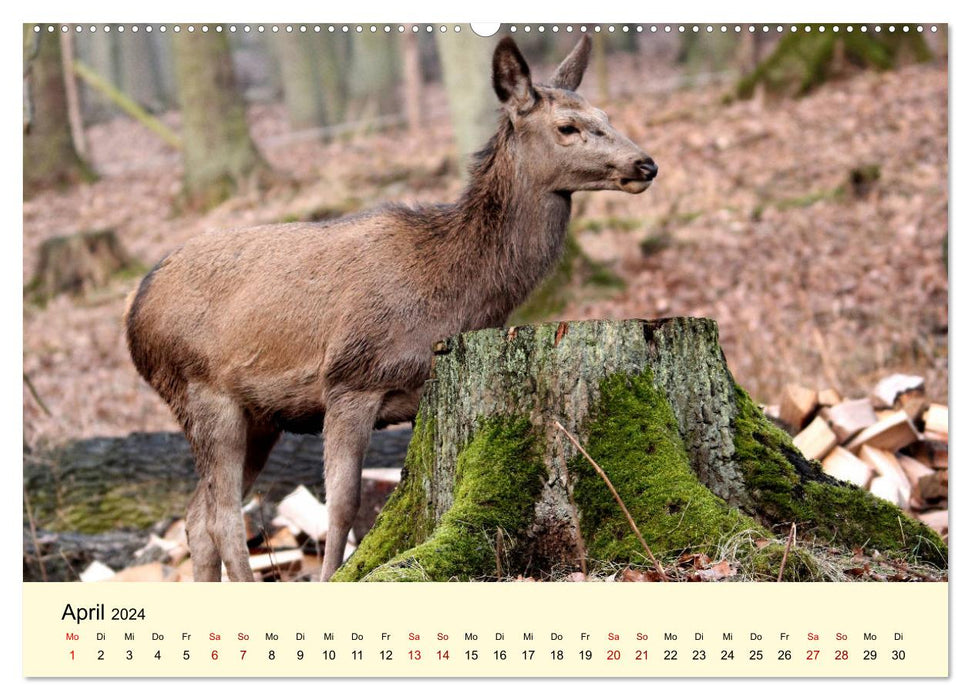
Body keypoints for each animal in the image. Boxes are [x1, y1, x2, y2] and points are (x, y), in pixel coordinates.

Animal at [121, 32, 652, 584]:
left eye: (606, 114)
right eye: (568, 126)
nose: (645, 164)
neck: (455, 291)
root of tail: (134, 313)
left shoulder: (423, 390)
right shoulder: (351, 378)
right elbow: (341, 506)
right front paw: (331, 577)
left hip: (260, 417)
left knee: (196, 516)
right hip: (201, 390)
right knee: (223, 517)